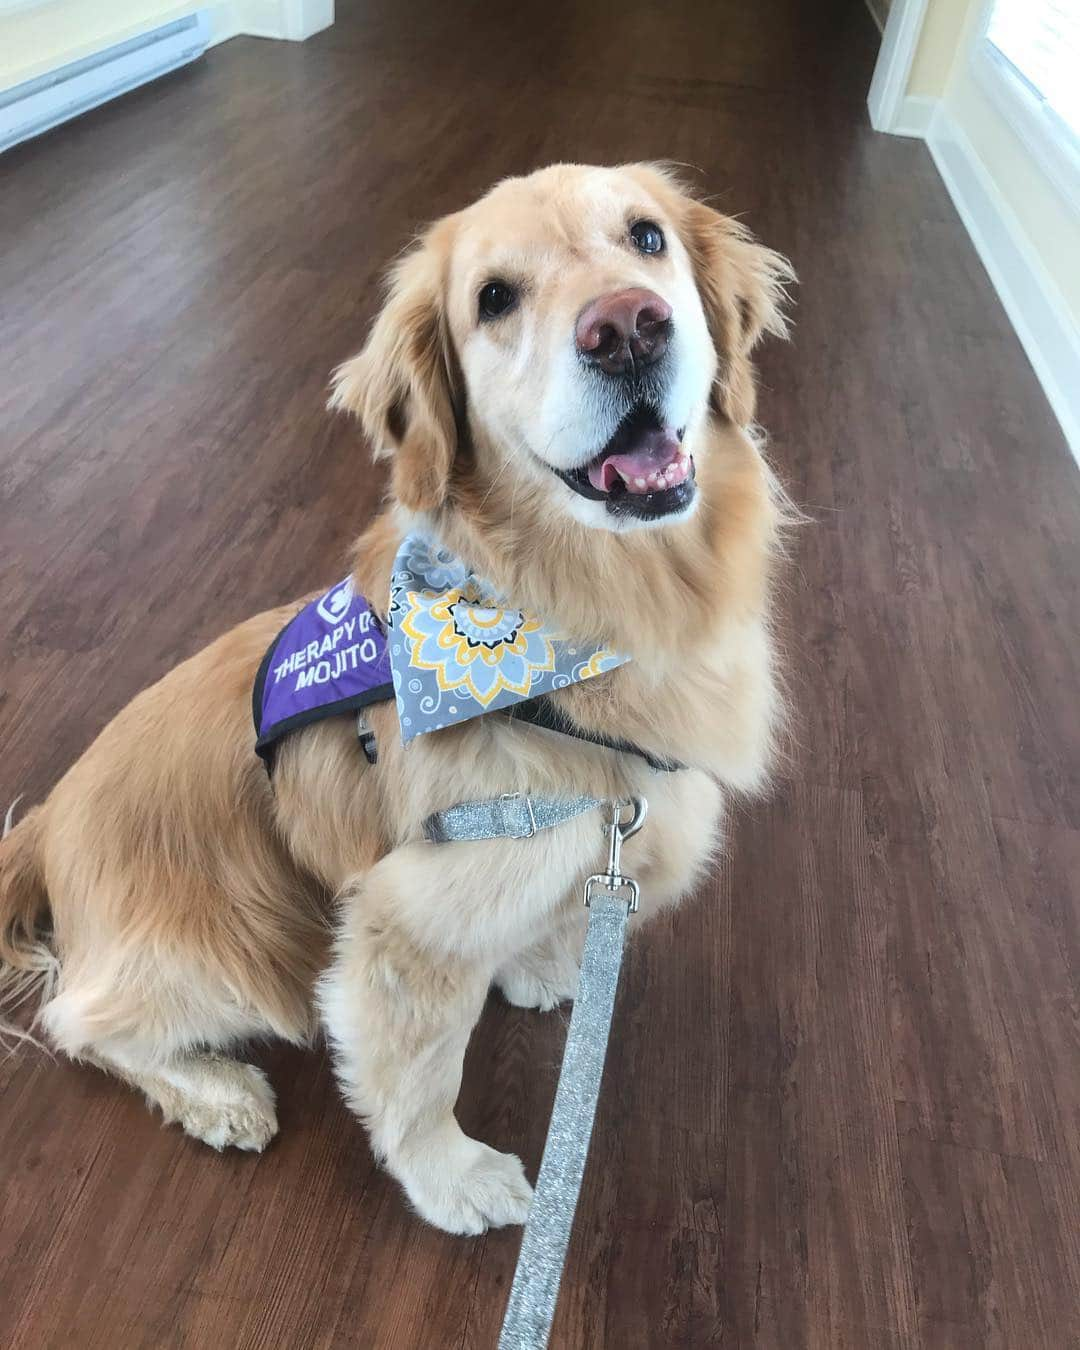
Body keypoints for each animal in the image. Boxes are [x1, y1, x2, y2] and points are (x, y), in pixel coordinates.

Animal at [0, 160, 793, 1236]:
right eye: (493, 299)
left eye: (647, 238)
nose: (628, 326)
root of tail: (46, 826)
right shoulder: (404, 923)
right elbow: (418, 1080)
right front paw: (454, 1179)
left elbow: (543, 920)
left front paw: (541, 967)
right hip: (230, 950)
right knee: (80, 1021)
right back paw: (215, 1093)